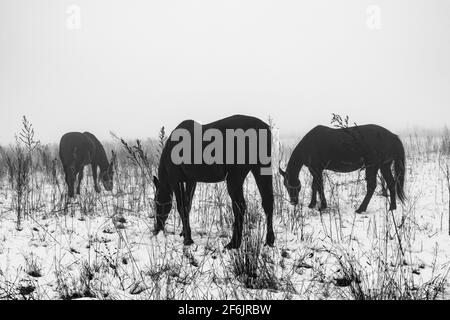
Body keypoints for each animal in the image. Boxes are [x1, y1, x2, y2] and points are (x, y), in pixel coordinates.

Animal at [153, 115, 276, 250]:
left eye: (156, 201)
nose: (157, 228)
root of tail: (262, 128)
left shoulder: (176, 179)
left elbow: (182, 207)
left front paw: (188, 239)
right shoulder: (191, 181)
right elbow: (188, 205)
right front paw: (184, 233)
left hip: (235, 178)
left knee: (239, 206)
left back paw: (234, 243)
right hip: (261, 169)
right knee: (268, 202)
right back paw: (269, 241)